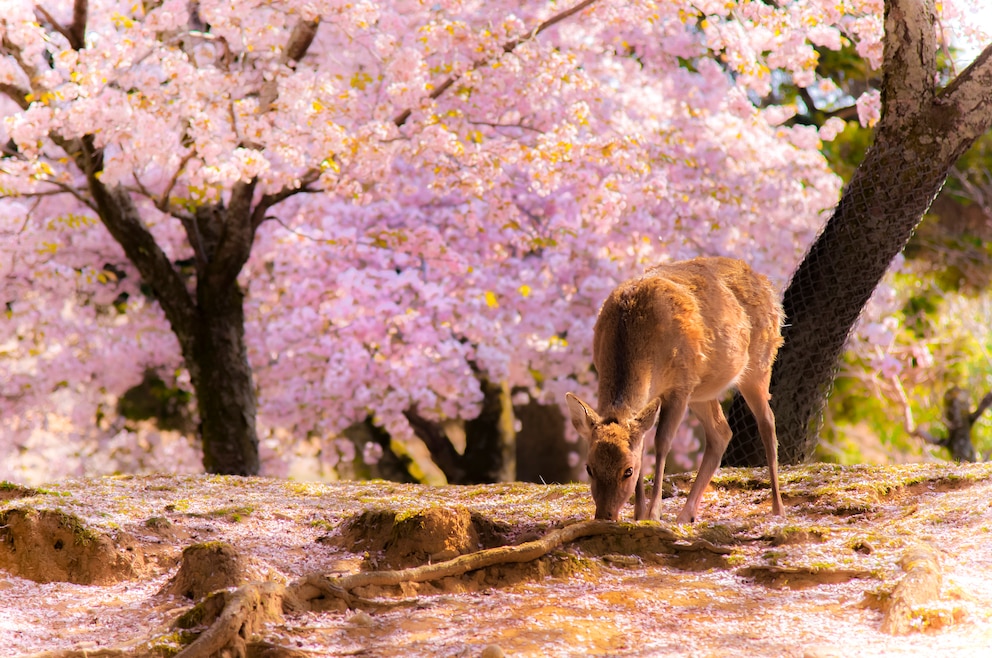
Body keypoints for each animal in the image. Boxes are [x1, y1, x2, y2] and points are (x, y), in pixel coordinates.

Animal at [564, 256, 784, 524]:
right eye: (589, 468)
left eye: (628, 470)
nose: (605, 516)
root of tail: (767, 285)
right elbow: (643, 444)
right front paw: (639, 513)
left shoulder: (680, 385)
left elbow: (662, 442)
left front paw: (653, 513)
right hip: (703, 391)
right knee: (721, 432)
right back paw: (686, 514)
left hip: (759, 364)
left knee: (767, 422)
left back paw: (778, 508)